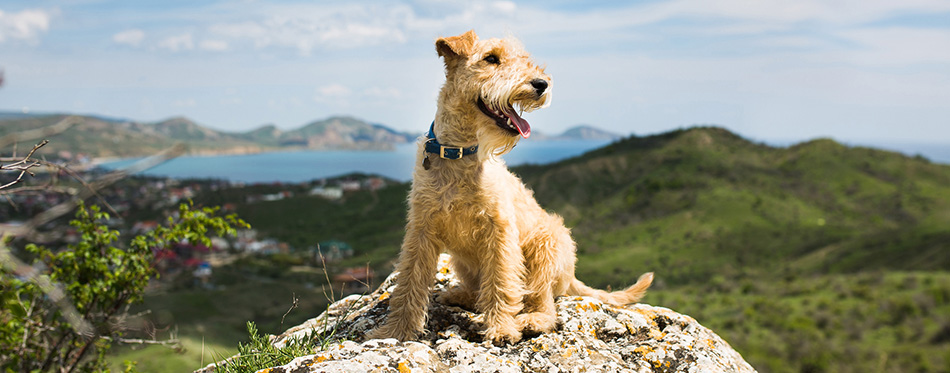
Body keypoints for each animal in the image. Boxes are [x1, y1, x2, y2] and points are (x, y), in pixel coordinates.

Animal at [366, 30, 656, 344]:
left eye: (524, 59)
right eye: (491, 58)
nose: (541, 84)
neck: (460, 153)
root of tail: (571, 276)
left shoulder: (500, 231)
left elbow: (501, 282)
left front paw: (502, 329)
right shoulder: (421, 230)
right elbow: (409, 283)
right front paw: (396, 331)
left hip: (546, 248)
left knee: (544, 303)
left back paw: (531, 320)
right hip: (463, 262)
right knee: (480, 290)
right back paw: (458, 295)